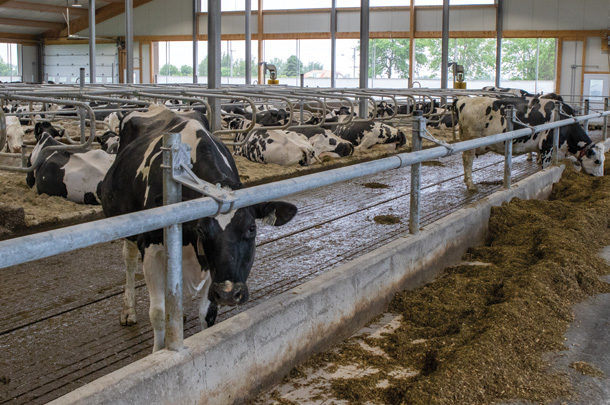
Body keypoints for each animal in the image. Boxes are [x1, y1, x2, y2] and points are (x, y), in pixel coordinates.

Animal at [454, 94, 600, 191]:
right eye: (597, 161)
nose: (599, 177)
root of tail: (463, 99)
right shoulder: (547, 147)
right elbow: (546, 168)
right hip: (471, 142)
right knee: (467, 160)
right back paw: (471, 185)